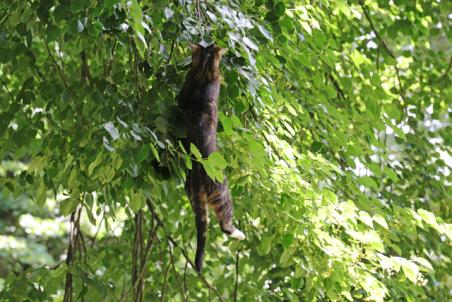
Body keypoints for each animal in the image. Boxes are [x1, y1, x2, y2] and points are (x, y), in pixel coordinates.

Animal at [178, 42, 245, 272]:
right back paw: (239, 234)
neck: (202, 76)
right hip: (224, 195)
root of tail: (198, 178)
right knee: (225, 224)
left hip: (191, 195)